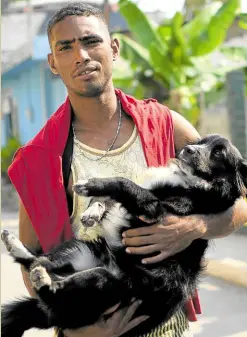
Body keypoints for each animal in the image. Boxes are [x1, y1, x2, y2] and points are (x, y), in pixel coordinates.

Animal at [1, 134, 247, 336]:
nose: (187, 150)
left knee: (49, 289)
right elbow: (111, 198)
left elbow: (123, 182)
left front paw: (91, 185)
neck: (193, 182)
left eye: (218, 153)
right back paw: (17, 247)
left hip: (104, 284)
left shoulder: (155, 209)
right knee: (37, 261)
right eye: (200, 141)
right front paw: (92, 211)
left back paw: (43, 280)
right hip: (81, 250)